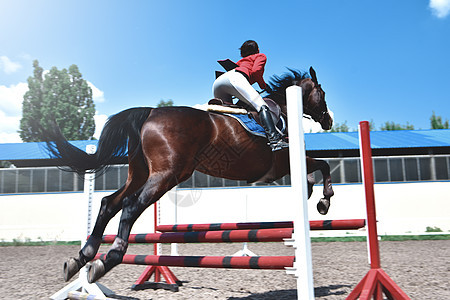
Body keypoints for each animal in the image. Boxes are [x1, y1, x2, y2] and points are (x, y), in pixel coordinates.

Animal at [44, 65, 334, 284]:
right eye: (322, 93)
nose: (329, 120)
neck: (284, 110)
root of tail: (150, 111)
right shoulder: (283, 163)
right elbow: (322, 164)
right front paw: (323, 201)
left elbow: (315, 169)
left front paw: (311, 193)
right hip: (166, 175)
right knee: (130, 205)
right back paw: (108, 259)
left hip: (140, 174)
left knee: (109, 203)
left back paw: (81, 258)